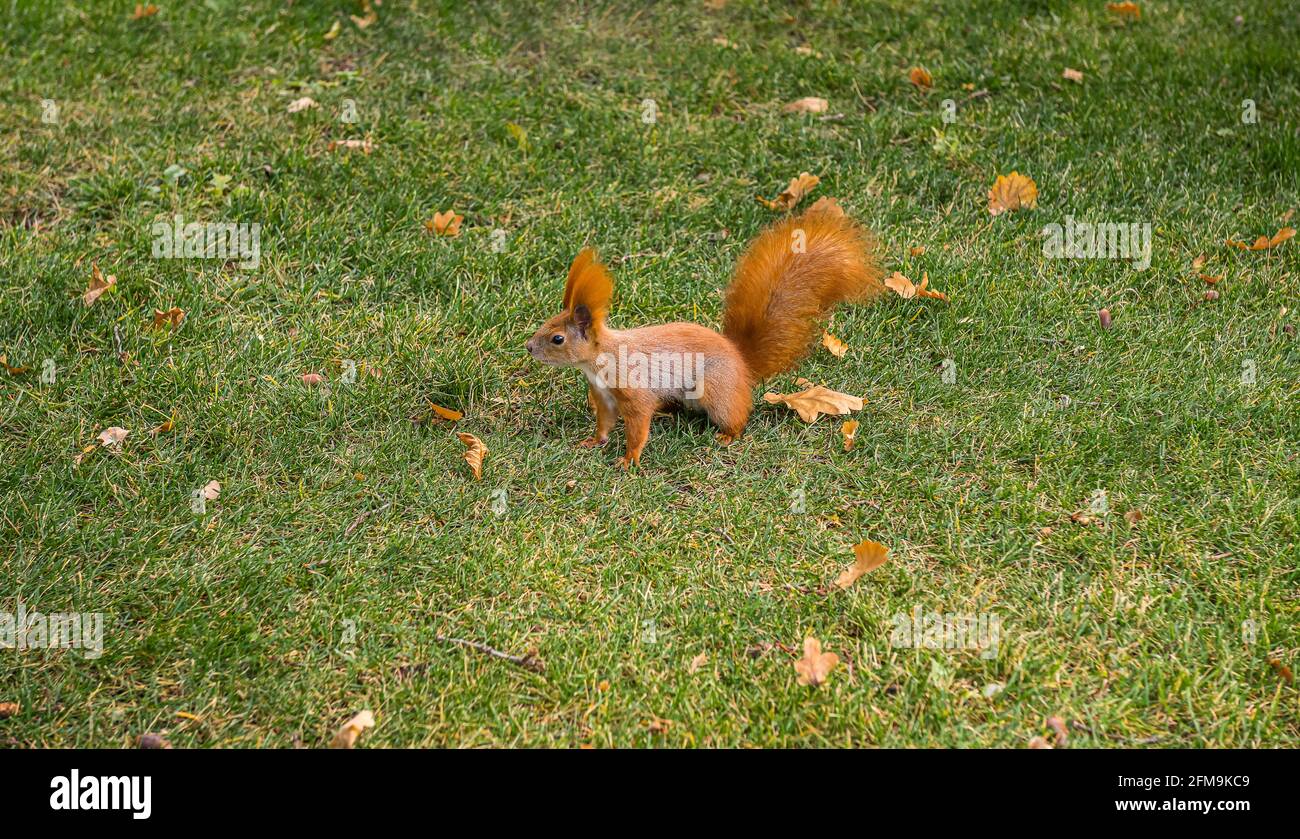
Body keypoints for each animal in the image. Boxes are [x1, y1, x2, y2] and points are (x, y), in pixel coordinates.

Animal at [525, 202, 883, 465]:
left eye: (557, 339)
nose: (528, 347)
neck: (601, 360)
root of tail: (742, 363)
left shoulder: (634, 391)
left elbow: (638, 426)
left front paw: (629, 459)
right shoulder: (604, 396)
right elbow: (604, 422)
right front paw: (592, 441)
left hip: (715, 389)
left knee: (736, 416)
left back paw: (727, 435)